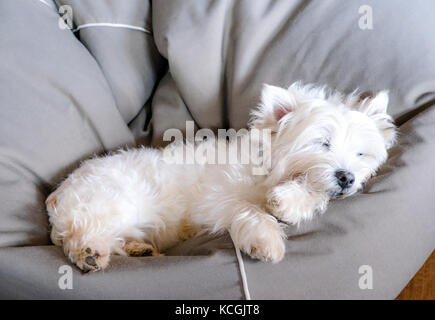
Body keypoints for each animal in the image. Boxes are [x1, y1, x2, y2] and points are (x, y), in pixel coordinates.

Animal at [46, 83, 396, 272]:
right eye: (322, 143)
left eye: (360, 154)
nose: (346, 177)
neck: (267, 170)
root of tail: (57, 197)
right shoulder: (215, 200)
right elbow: (250, 211)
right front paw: (266, 239)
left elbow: (311, 193)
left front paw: (288, 203)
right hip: (111, 202)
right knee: (84, 232)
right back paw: (89, 253)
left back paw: (137, 249)